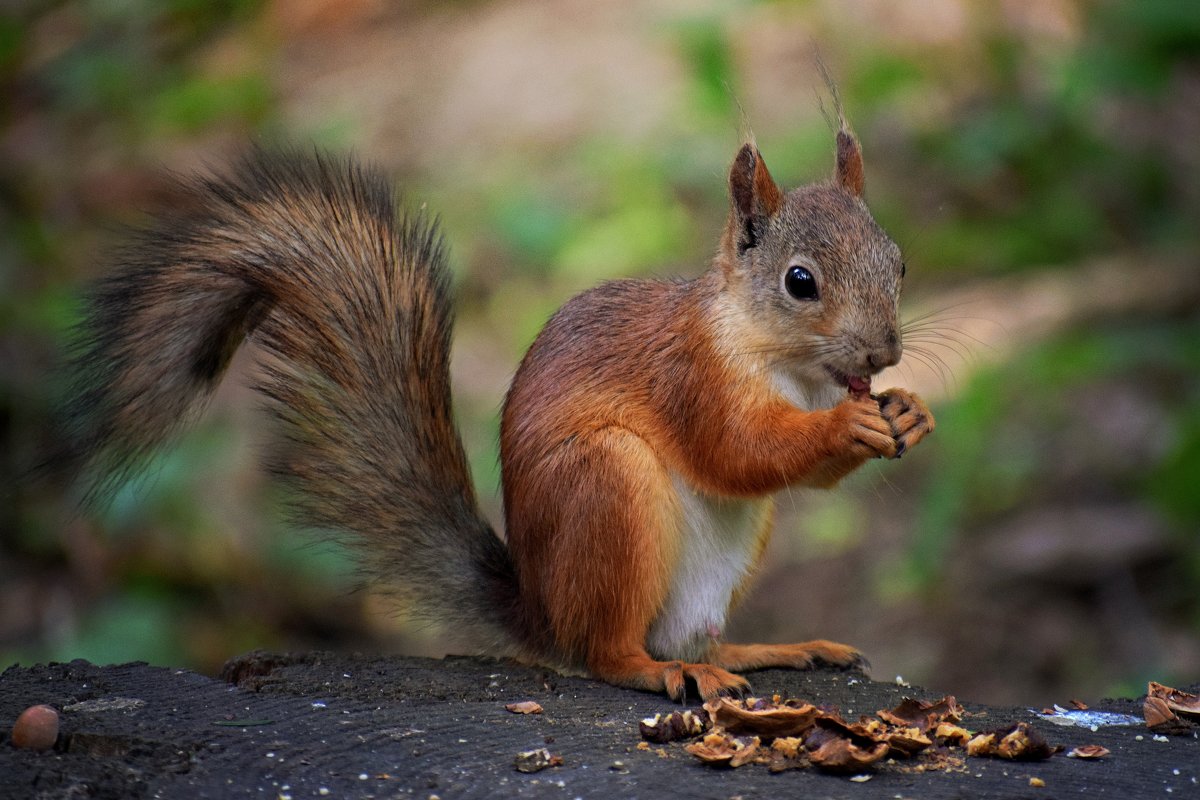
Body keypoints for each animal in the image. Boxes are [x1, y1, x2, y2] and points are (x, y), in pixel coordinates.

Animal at [60, 118, 931, 700]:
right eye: (799, 281)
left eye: (898, 262)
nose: (883, 352)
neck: (789, 368)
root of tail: (542, 613)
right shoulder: (691, 378)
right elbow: (739, 451)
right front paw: (847, 425)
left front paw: (910, 411)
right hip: (605, 487)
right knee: (607, 653)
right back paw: (666, 673)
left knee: (694, 637)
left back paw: (762, 652)